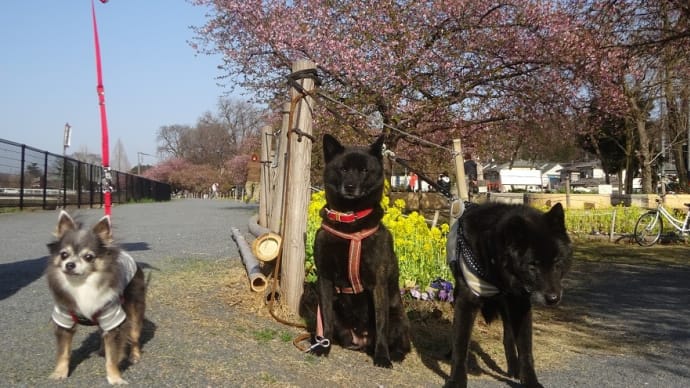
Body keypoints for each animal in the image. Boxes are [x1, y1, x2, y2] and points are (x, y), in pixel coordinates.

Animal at [310, 133, 408, 366]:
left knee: (399, 341)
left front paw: (382, 357)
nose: (350, 186)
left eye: (364, 170)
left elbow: (381, 324)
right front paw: (323, 347)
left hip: (398, 318)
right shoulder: (325, 279)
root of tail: (363, 340)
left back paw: (394, 354)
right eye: (343, 169)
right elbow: (325, 319)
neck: (350, 219)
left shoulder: (378, 284)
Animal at [444, 203, 572, 388]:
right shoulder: (466, 301)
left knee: (508, 338)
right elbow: (460, 345)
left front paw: (530, 381)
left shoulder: (520, 305)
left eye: (557, 262)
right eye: (533, 266)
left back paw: (513, 368)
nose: (554, 299)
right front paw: (455, 381)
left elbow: (526, 350)